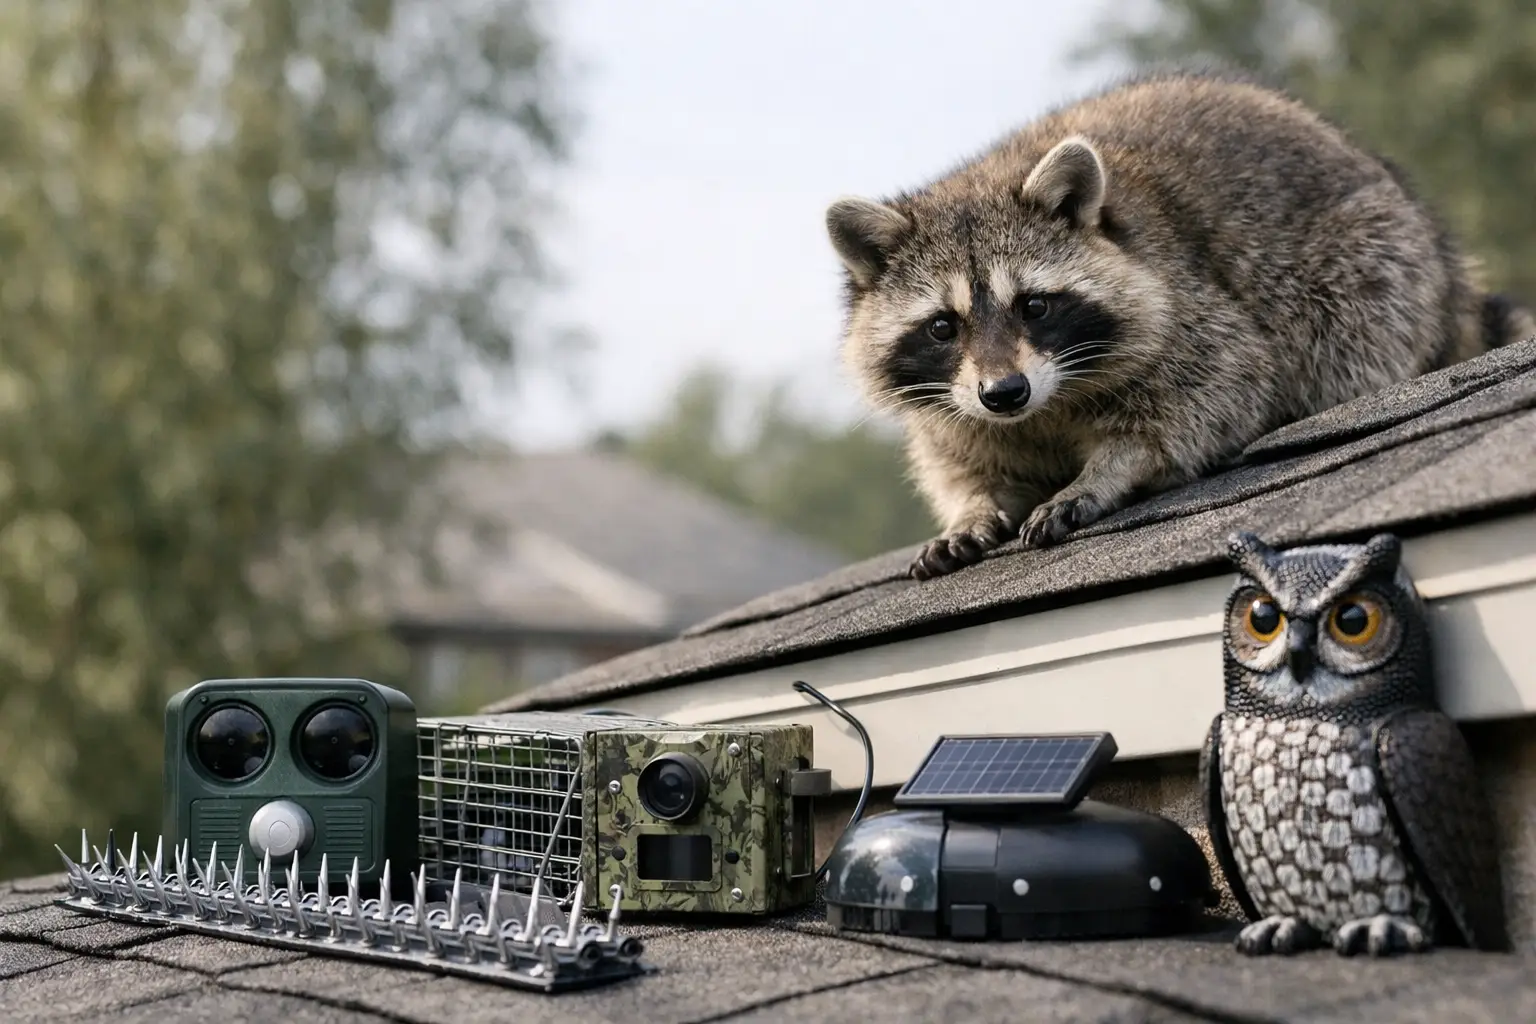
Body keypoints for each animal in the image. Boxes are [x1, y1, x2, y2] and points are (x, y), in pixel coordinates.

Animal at [825, 68, 1535, 580]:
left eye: (1034, 306)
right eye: (943, 327)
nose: (1005, 394)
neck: (1045, 408)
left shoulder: (1194, 313)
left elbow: (1211, 394)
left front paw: (1110, 468)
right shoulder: (953, 408)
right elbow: (964, 462)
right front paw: (973, 508)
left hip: (1371, 272)